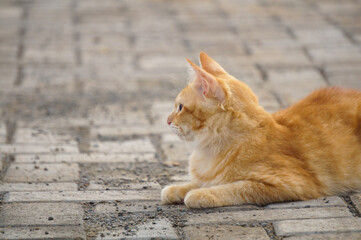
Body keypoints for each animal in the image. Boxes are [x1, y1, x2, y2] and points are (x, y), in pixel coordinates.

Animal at [162, 52, 360, 208]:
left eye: (180, 107)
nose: (167, 120)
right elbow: (195, 183)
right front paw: (176, 189)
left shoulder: (291, 184)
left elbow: (234, 187)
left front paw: (201, 194)